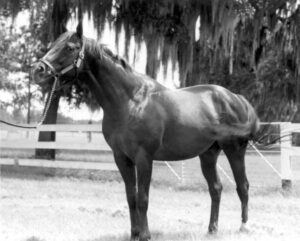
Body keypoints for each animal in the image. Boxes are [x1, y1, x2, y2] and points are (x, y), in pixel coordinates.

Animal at [31, 21, 258, 240]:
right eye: (52, 45)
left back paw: (245, 227)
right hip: (208, 154)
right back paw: (212, 230)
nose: (38, 70)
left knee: (243, 186)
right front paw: (134, 234)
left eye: (70, 48)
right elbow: (131, 197)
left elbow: (143, 198)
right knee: (216, 188)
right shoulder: (121, 158)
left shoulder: (144, 157)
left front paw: (145, 235)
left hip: (234, 150)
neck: (130, 101)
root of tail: (236, 98)